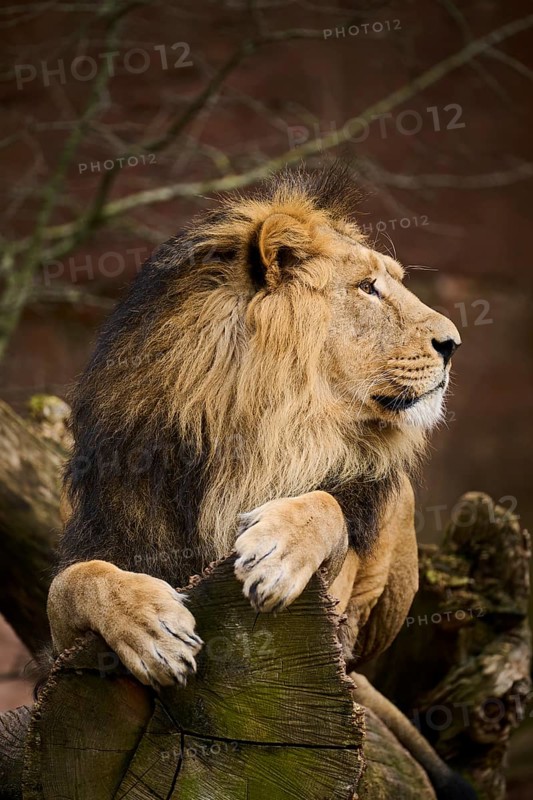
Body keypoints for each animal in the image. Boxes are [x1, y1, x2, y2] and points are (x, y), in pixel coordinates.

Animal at [47, 165, 473, 798]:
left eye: (391, 283)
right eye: (366, 288)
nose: (453, 345)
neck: (254, 430)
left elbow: (324, 502)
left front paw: (275, 552)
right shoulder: (74, 605)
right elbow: (79, 579)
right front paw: (153, 629)